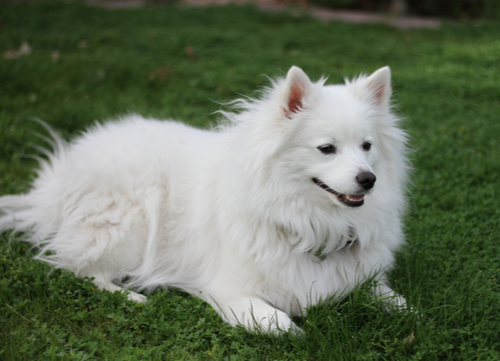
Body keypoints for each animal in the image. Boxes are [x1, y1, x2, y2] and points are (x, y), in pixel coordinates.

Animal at [0, 66, 410, 334]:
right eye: (327, 149)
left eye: (366, 146)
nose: (368, 179)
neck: (310, 223)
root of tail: (59, 179)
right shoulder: (227, 289)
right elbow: (278, 322)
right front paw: (290, 327)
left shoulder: (363, 276)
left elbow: (400, 302)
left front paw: (409, 314)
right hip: (131, 225)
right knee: (79, 268)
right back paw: (132, 297)